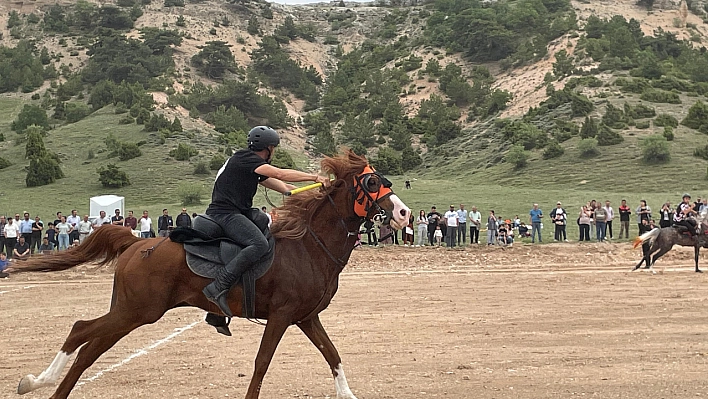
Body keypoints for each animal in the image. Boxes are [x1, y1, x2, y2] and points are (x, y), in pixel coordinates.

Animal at [13, 151, 412, 399]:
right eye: (371, 183)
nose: (405, 214)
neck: (308, 245)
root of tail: (135, 242)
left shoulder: (306, 317)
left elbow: (333, 355)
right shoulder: (282, 316)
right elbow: (262, 364)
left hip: (129, 314)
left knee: (88, 350)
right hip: (137, 312)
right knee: (81, 330)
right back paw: (37, 380)